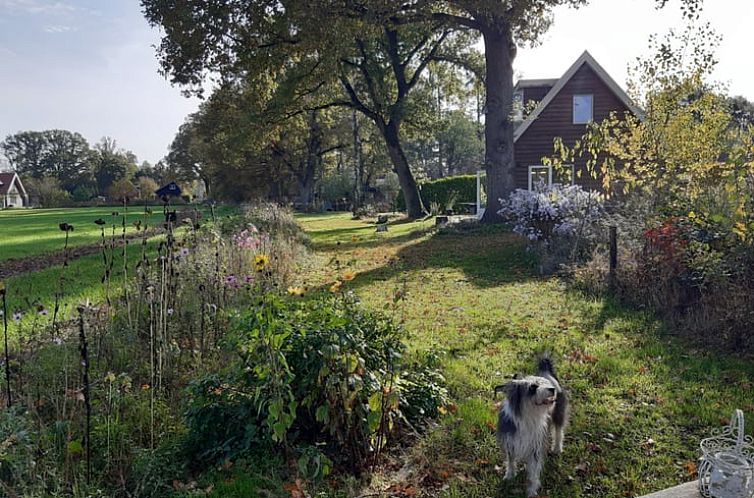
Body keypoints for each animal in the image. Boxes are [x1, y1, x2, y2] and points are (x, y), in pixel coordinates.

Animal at [490, 354, 568, 498]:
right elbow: (511, 461)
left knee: (559, 431)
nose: (552, 389)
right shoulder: (511, 442)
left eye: (544, 383)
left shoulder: (536, 447)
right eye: (533, 387)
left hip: (559, 414)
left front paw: (531, 491)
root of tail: (545, 370)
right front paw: (510, 475)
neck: (527, 417)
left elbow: (533, 473)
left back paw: (557, 448)